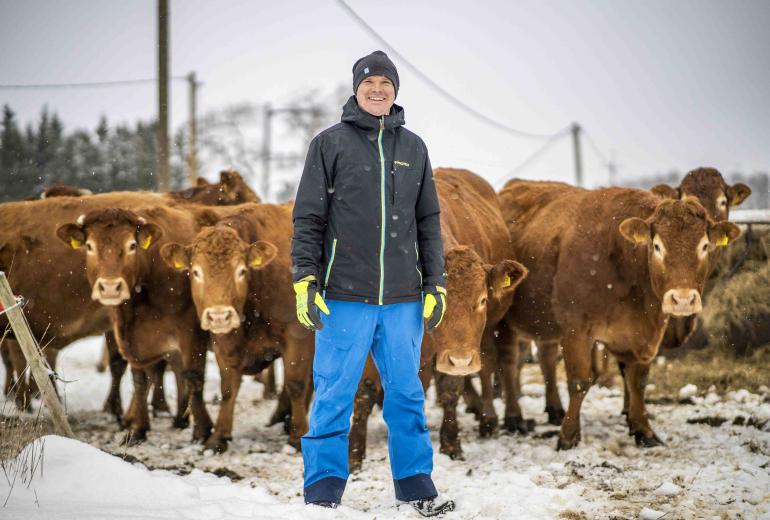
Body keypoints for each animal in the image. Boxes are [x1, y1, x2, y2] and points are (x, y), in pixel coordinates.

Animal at [160, 203, 314, 450]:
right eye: (196, 272)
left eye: (241, 271)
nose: (219, 315)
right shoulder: (224, 341)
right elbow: (228, 388)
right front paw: (219, 436)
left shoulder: (298, 335)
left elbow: (296, 384)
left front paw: (298, 436)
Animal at [344, 169, 524, 470]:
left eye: (482, 300)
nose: (461, 360)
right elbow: (365, 391)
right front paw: (353, 455)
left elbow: (451, 388)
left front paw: (451, 444)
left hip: (487, 334)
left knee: (489, 364)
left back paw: (488, 418)